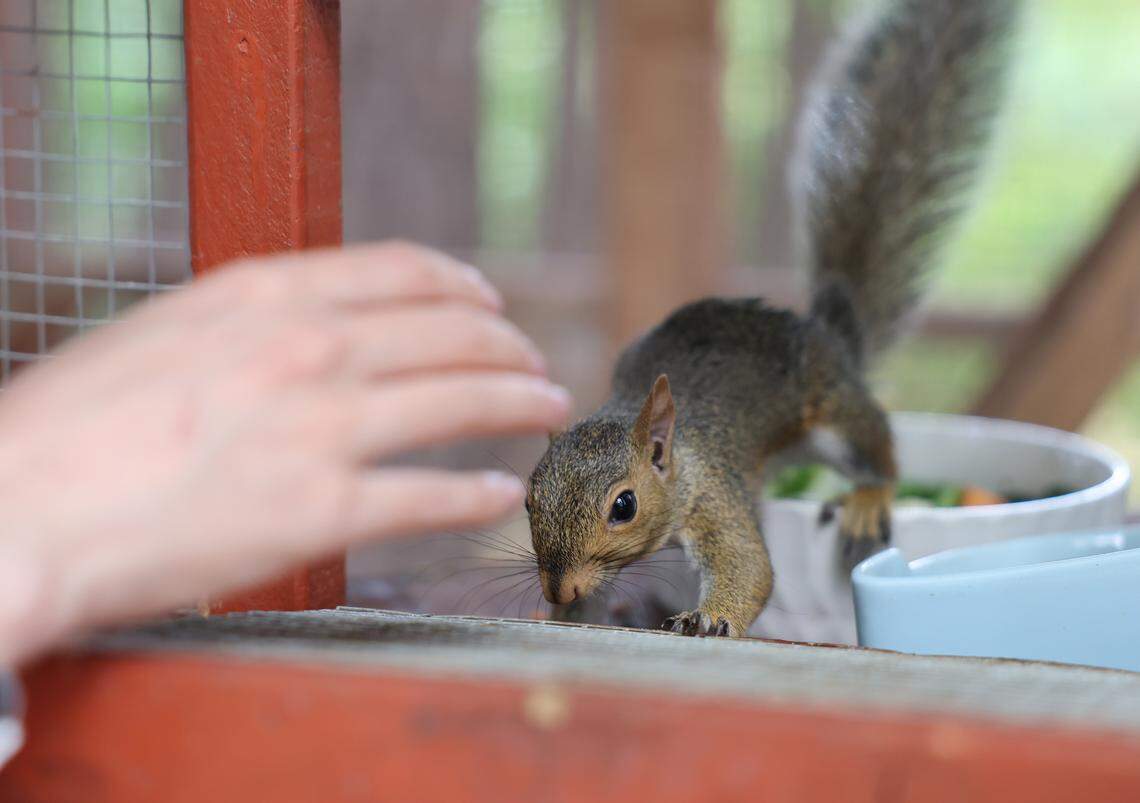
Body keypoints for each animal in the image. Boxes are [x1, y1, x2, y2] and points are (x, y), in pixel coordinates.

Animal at [525, 0, 1016, 637]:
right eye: (529, 499)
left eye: (624, 505)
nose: (560, 585)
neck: (677, 461)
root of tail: (826, 333)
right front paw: (565, 611)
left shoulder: (715, 493)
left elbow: (748, 565)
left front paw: (709, 618)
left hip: (832, 407)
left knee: (878, 452)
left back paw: (868, 499)